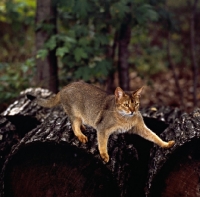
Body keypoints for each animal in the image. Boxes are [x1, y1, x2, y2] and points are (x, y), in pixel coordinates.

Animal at [27, 81, 175, 162]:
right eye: (126, 105)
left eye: (136, 104)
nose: (133, 111)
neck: (125, 118)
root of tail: (65, 87)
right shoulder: (102, 128)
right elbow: (102, 143)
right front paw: (104, 156)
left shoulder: (141, 127)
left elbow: (154, 136)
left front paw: (166, 144)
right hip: (75, 113)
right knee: (73, 125)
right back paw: (81, 135)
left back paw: (83, 128)